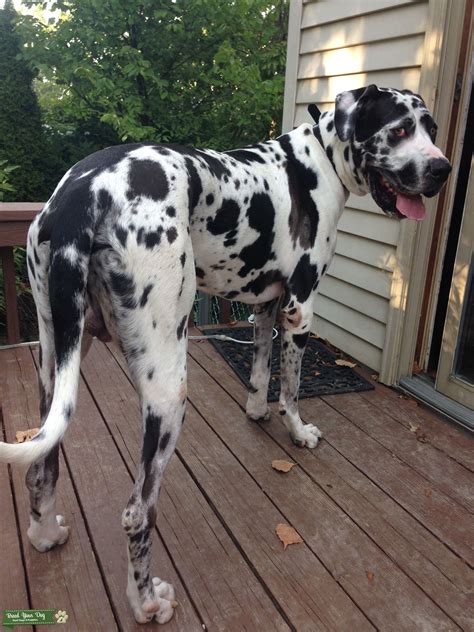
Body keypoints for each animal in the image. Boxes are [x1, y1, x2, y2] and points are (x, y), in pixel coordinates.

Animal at [0, 84, 452, 624]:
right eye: (400, 129)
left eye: (432, 128)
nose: (444, 169)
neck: (319, 159)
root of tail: (81, 195)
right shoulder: (300, 308)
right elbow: (291, 388)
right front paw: (298, 431)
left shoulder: (266, 306)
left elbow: (259, 369)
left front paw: (256, 410)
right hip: (168, 391)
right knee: (137, 511)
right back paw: (146, 601)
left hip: (58, 360)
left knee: (42, 464)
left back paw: (45, 535)